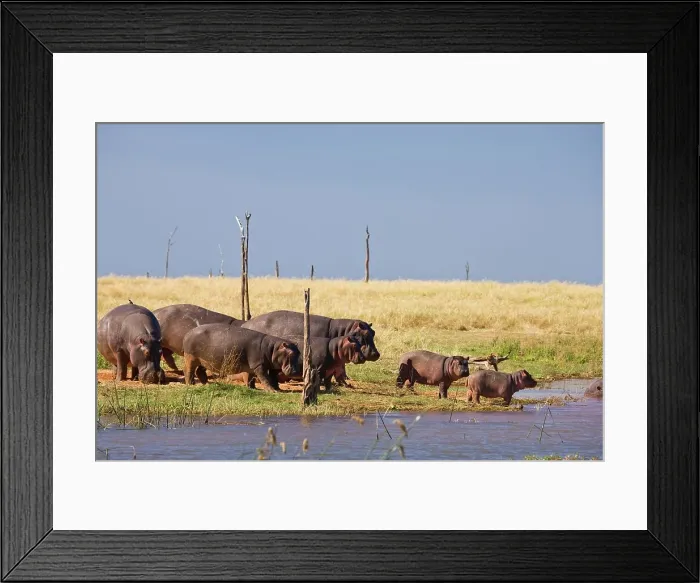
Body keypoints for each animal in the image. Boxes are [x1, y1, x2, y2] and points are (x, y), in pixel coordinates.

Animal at [241, 310, 380, 385]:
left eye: (373, 332)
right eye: (365, 333)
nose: (376, 354)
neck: (342, 331)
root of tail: (244, 324)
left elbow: (341, 368)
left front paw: (345, 383)